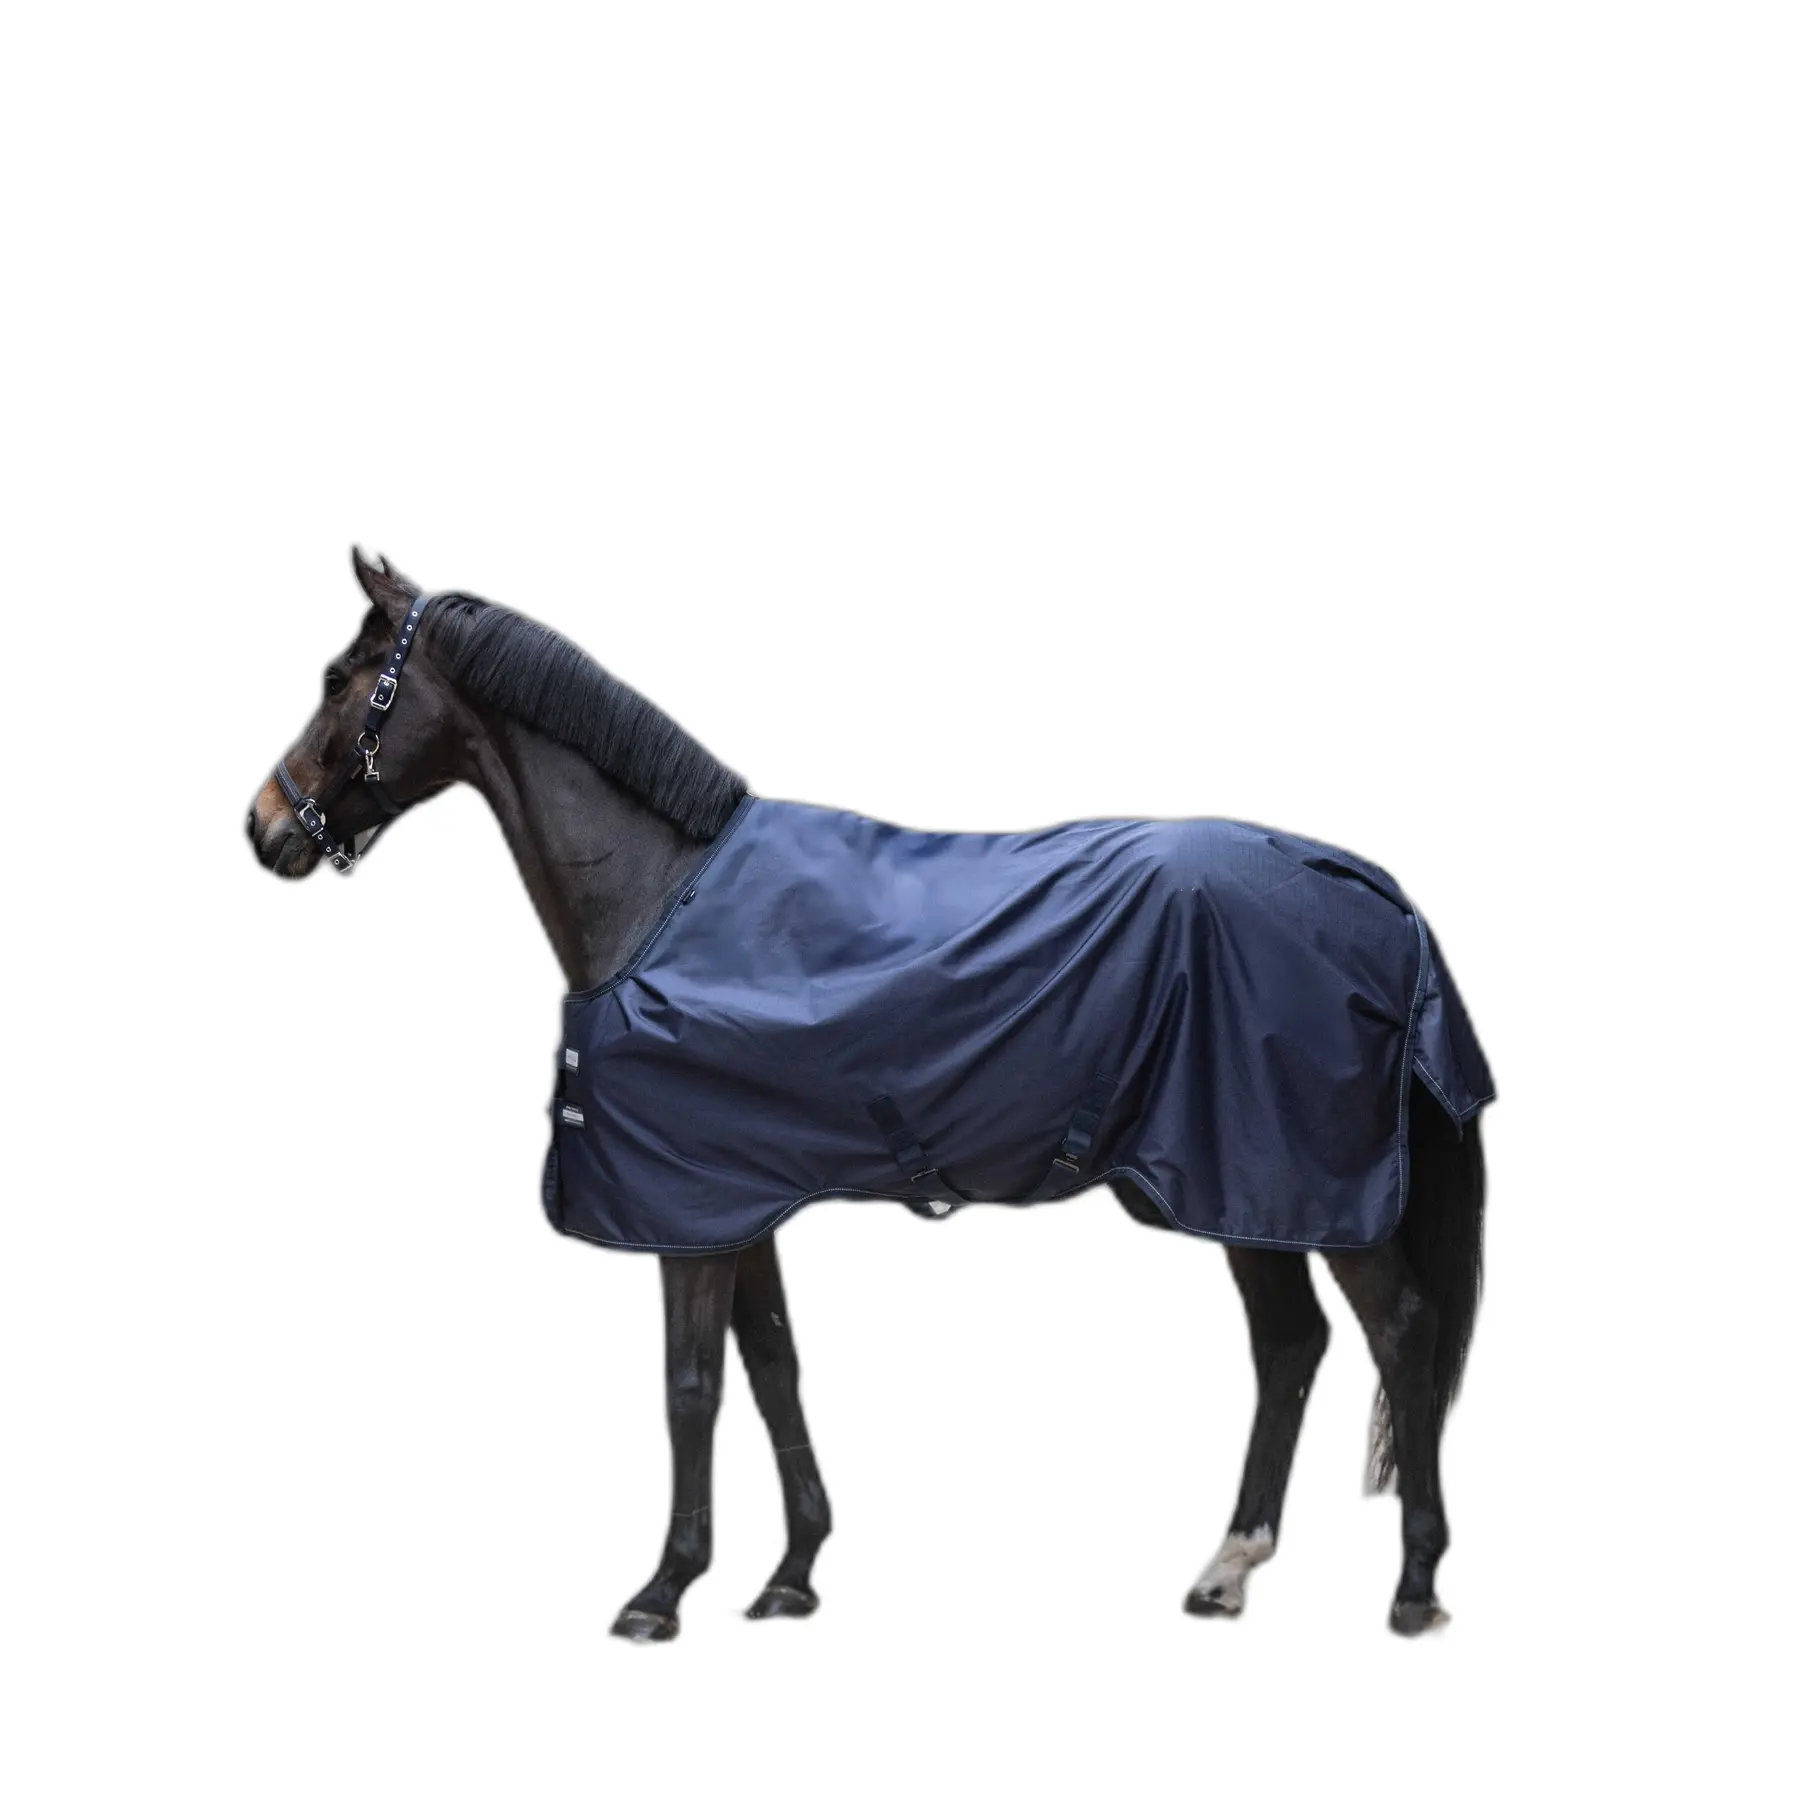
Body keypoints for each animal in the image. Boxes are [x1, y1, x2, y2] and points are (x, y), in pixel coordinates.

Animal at [247, 549, 1491, 1639]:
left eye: (338, 680)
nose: (263, 828)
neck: (659, 896)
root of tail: (1374, 894)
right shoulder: (732, 1201)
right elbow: (773, 1368)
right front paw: (791, 1573)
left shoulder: (682, 1214)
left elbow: (691, 1386)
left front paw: (663, 1592)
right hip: (1238, 1189)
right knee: (1289, 1346)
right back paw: (1229, 1568)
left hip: (1305, 1189)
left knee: (1401, 1333)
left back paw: (1416, 1585)